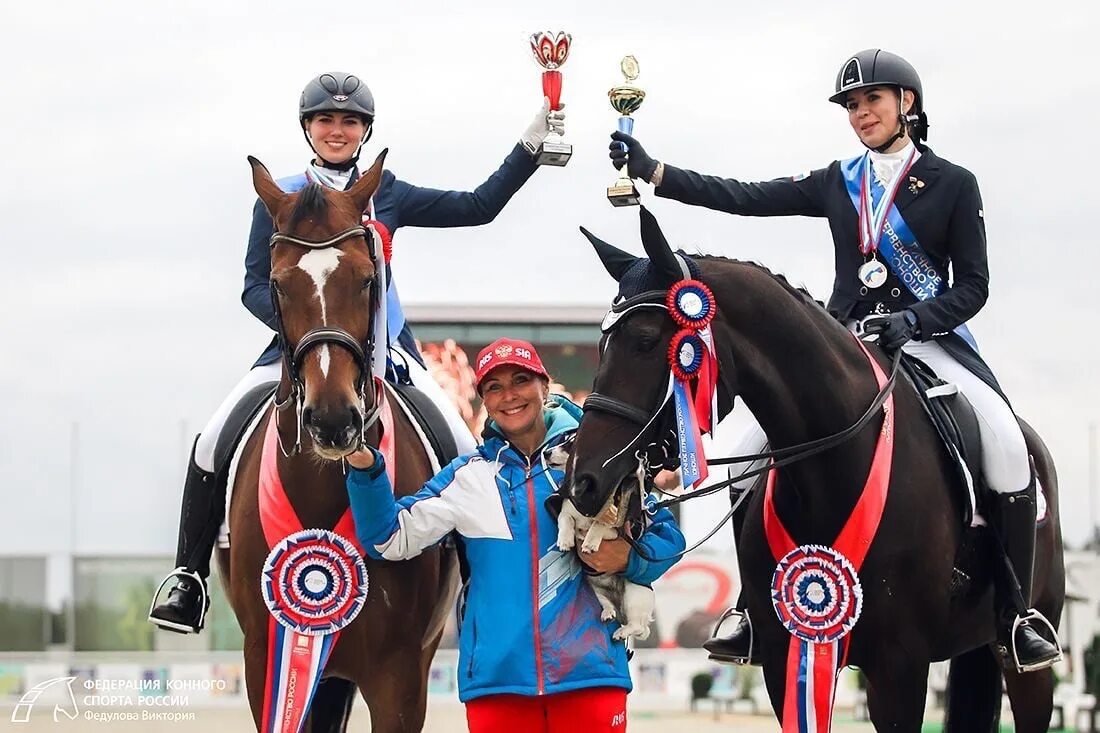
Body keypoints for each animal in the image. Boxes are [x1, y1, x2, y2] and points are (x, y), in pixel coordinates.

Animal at [567, 208, 1064, 726]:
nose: (582, 481)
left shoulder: (901, 663)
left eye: (646, 341)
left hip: (1026, 659)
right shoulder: (785, 656)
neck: (834, 468)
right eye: (601, 344)